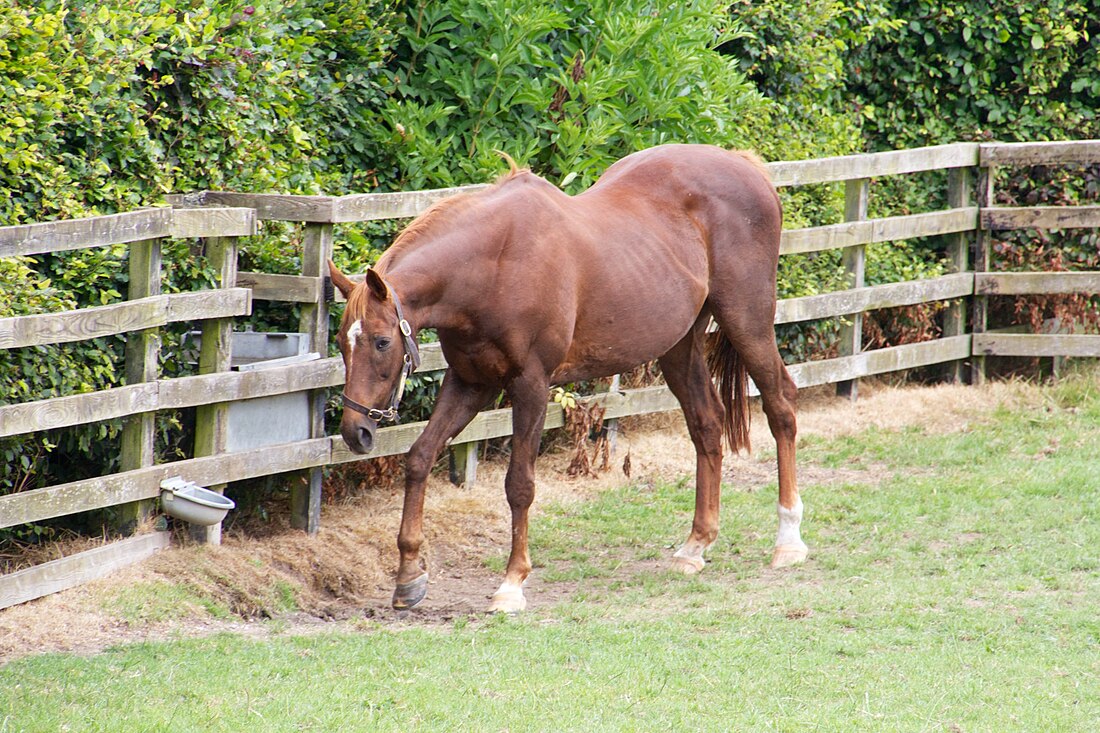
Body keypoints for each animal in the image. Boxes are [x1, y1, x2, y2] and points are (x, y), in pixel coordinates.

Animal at [321, 144, 805, 611]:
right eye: (342, 343)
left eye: (382, 342)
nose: (355, 431)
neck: (494, 265)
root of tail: (746, 166)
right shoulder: (470, 382)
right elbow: (420, 457)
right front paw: (408, 577)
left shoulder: (531, 386)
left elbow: (519, 485)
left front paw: (512, 584)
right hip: (679, 345)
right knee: (707, 423)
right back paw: (695, 546)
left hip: (748, 322)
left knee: (781, 406)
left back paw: (788, 540)